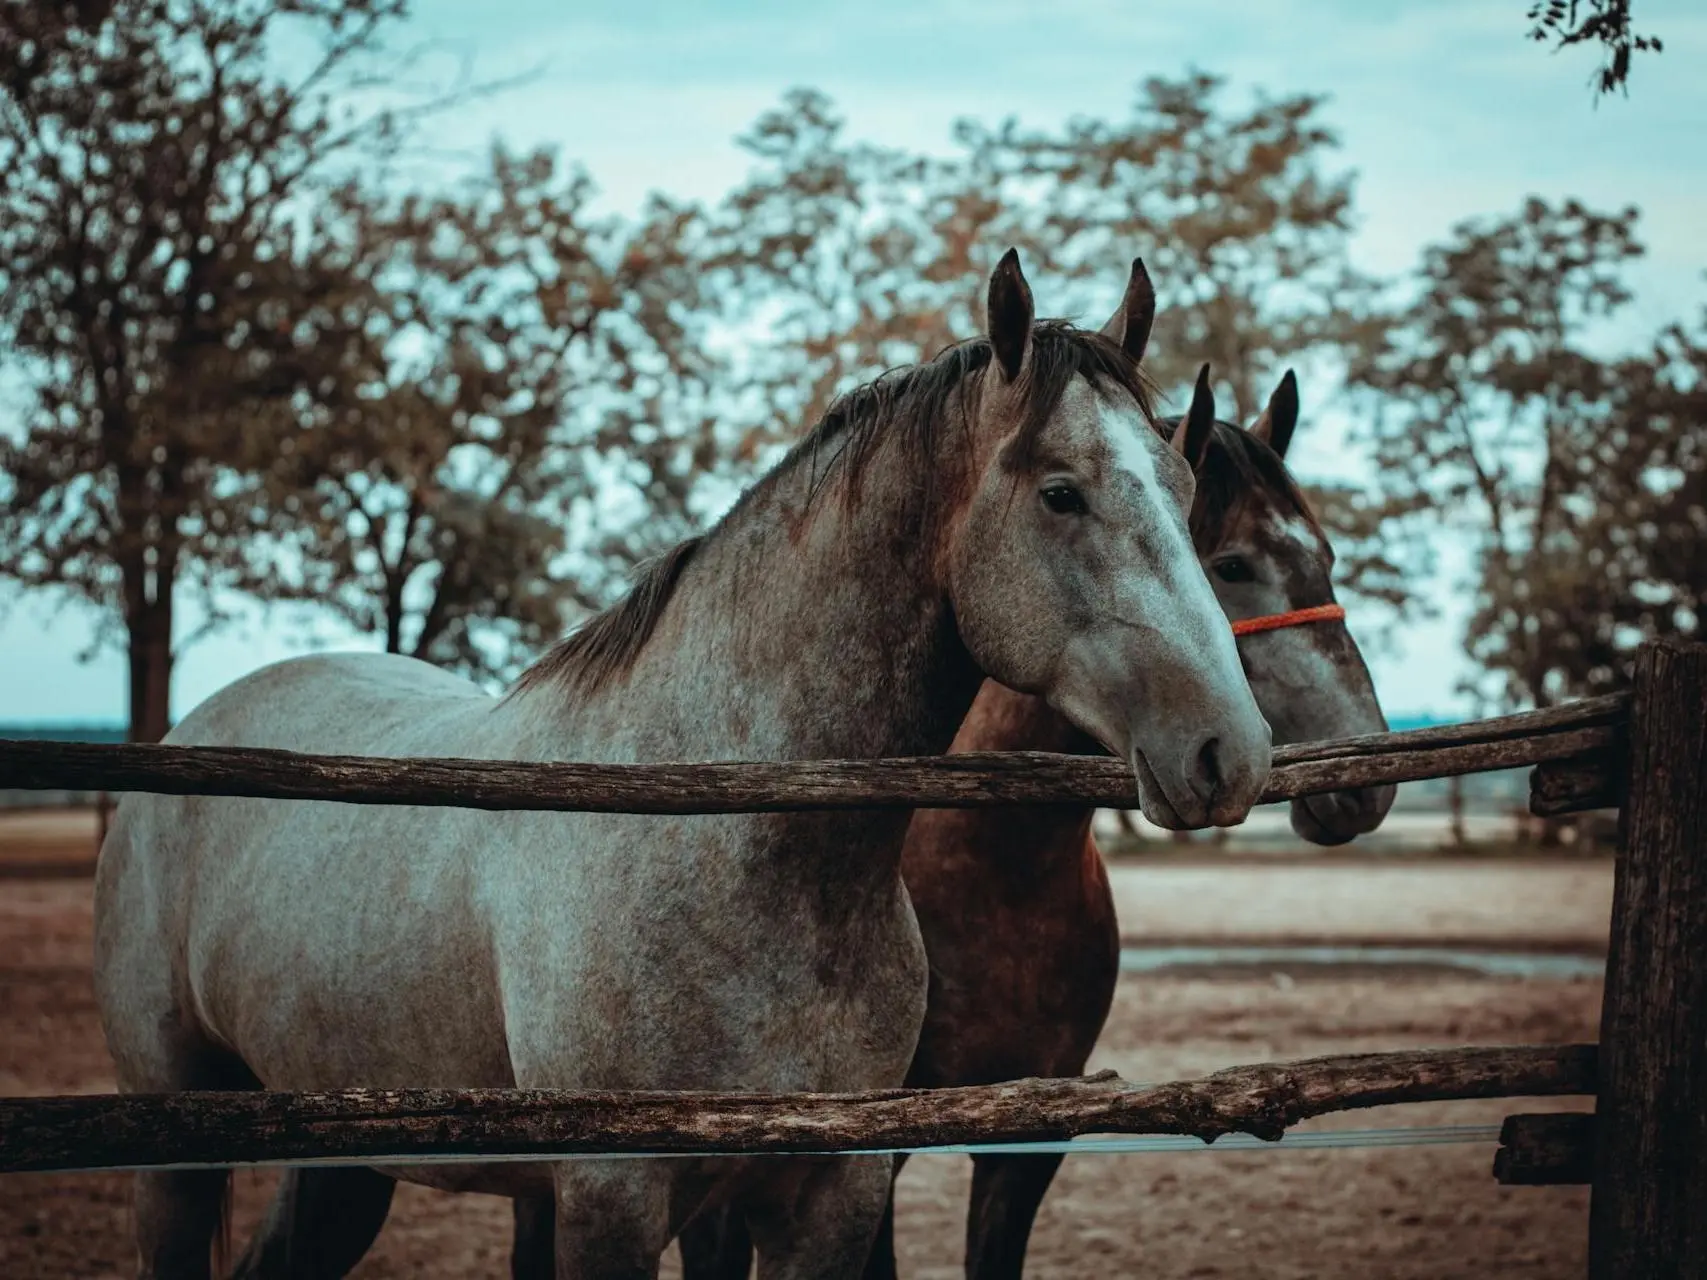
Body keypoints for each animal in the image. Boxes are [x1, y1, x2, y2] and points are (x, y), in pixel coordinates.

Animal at [672, 363, 1392, 1280]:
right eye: (1231, 564)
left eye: (1324, 558)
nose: (1367, 783)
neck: (996, 875)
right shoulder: (878, 1145)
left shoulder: (1029, 1141)